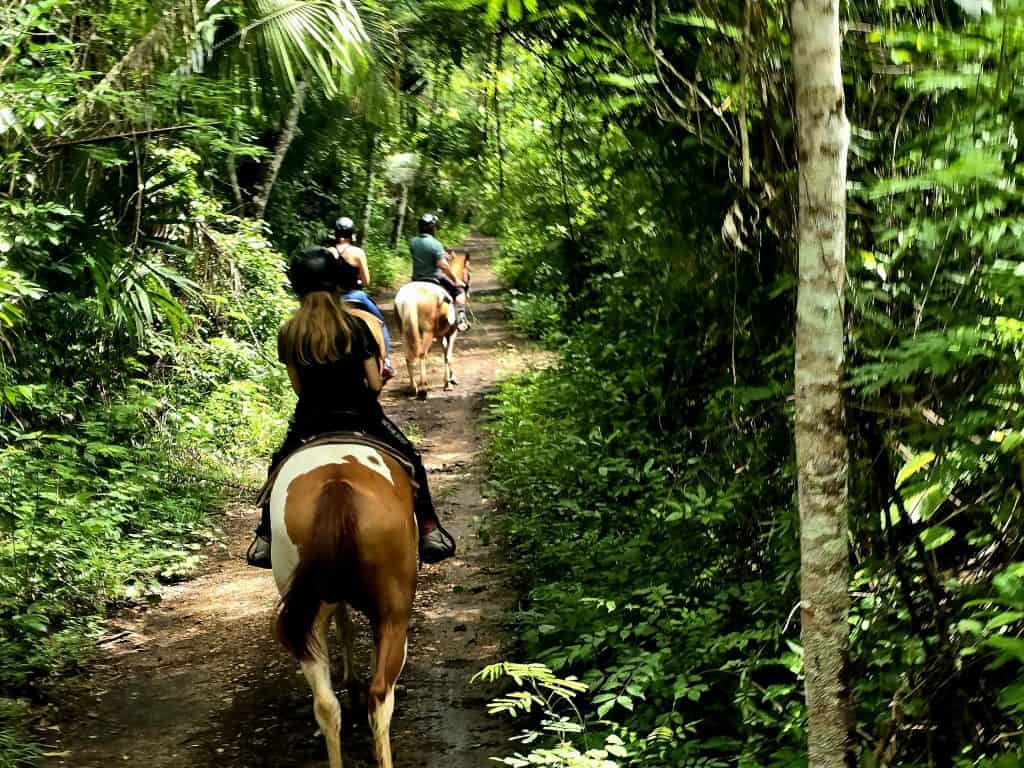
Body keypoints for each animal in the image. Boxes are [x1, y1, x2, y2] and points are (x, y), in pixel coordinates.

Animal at [272, 442, 419, 768]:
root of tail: (337, 487)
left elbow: (344, 628)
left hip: (308, 619)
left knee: (326, 704)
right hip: (394, 615)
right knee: (380, 695)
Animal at [393, 252, 468, 399]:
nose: (465, 286)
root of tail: (409, 297)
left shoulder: (440, 335)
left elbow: (445, 353)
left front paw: (449, 380)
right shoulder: (452, 332)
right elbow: (448, 355)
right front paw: (449, 382)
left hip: (404, 332)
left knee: (408, 357)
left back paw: (413, 388)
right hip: (427, 332)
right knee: (422, 354)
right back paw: (423, 389)